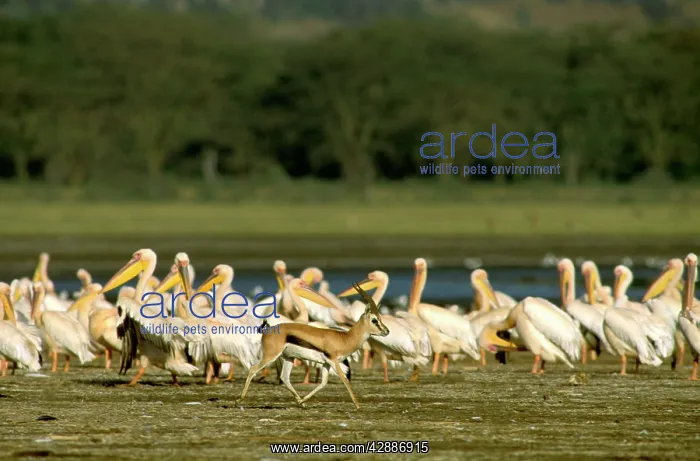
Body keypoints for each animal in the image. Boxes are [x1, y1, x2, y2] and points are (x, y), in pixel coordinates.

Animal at [237, 283, 390, 410]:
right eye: (374, 320)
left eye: (380, 318)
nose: (386, 331)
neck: (345, 338)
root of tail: (267, 330)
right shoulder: (334, 361)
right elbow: (345, 379)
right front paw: (357, 405)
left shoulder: (326, 364)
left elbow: (323, 383)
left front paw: (303, 401)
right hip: (271, 356)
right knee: (253, 369)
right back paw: (239, 400)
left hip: (288, 357)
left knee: (284, 377)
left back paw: (300, 403)